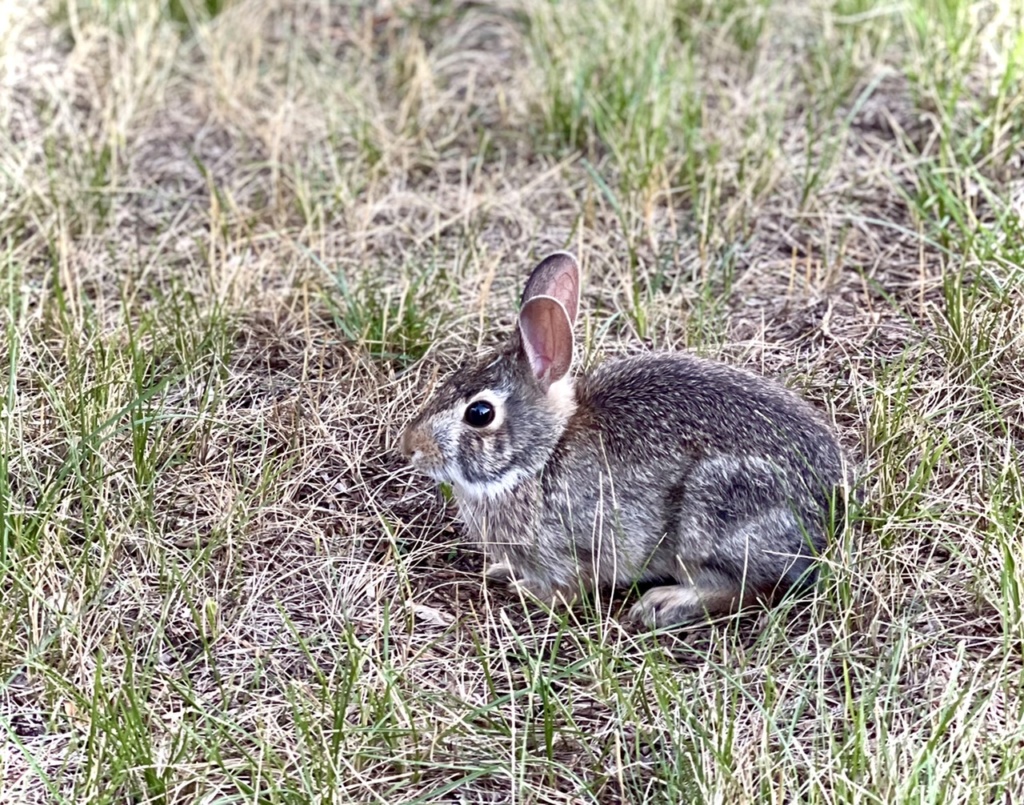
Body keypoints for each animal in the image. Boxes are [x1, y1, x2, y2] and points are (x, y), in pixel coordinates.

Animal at [399, 250, 847, 626]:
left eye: (480, 413)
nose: (411, 448)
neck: (543, 454)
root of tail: (835, 507)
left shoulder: (576, 548)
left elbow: (571, 585)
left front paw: (528, 591)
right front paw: (501, 570)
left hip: (716, 510)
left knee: (753, 589)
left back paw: (664, 604)